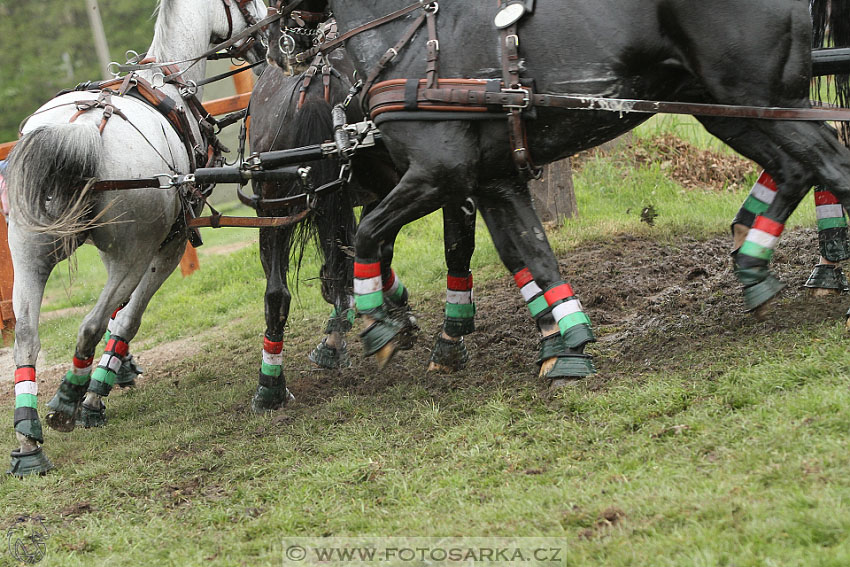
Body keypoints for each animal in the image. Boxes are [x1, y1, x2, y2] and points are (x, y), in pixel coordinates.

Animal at [284, 0, 848, 384]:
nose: (275, 44)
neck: (414, 42)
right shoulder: (493, 182)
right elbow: (532, 254)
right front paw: (568, 344)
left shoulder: (438, 174)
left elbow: (366, 233)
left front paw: (379, 325)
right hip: (731, 109)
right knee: (797, 168)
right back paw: (755, 268)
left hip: (762, 99)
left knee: (829, 163)